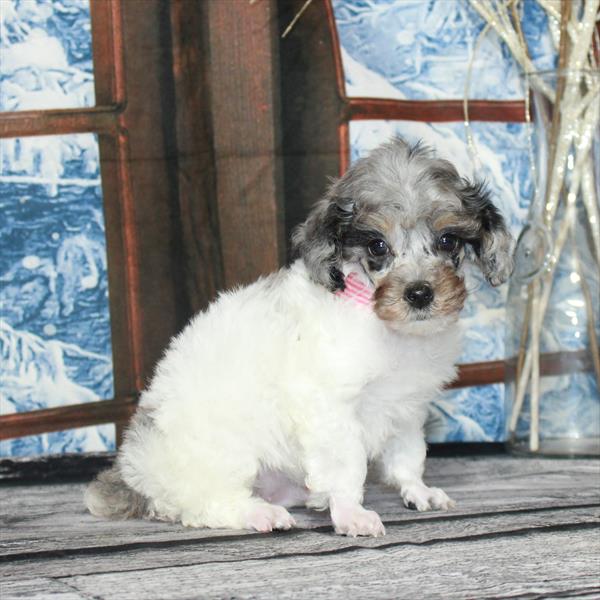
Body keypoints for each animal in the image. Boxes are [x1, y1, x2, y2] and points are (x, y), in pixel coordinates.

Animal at [86, 138, 512, 536]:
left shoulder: (407, 408)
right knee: (207, 503)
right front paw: (352, 513)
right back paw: (260, 513)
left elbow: (409, 455)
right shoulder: (331, 408)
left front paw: (417, 491)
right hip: (221, 454)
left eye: (448, 241)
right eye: (377, 245)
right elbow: (347, 466)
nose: (420, 293)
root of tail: (135, 474)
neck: (380, 319)